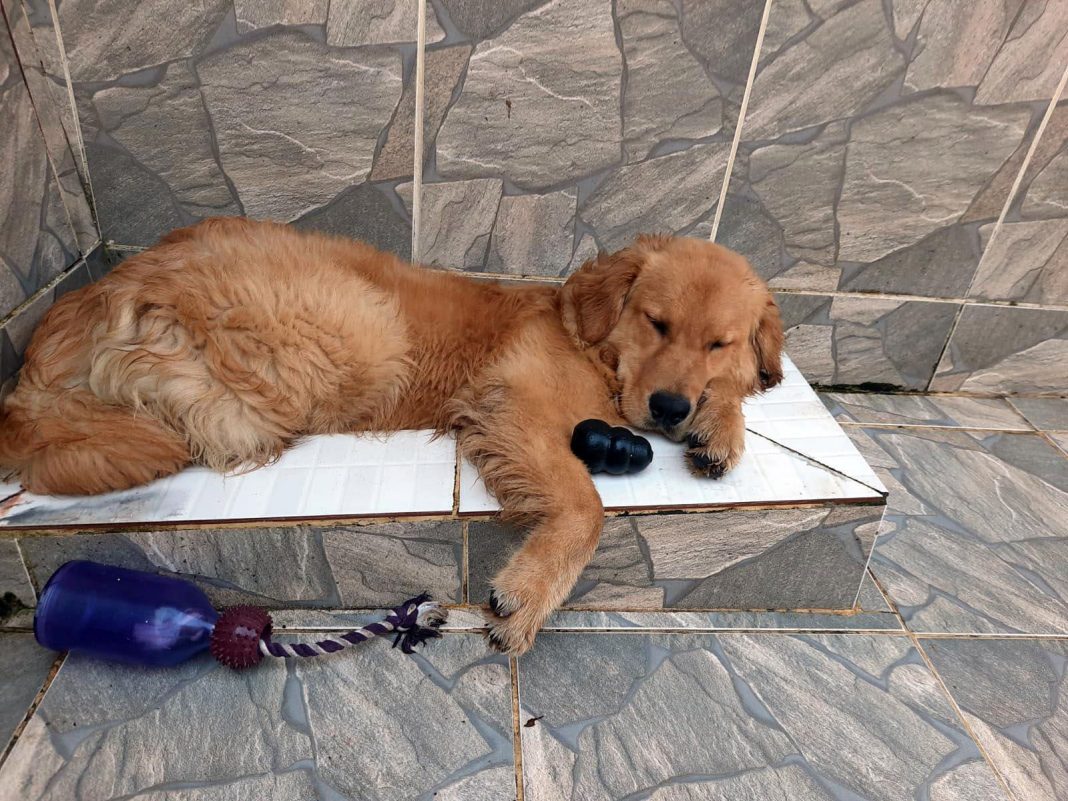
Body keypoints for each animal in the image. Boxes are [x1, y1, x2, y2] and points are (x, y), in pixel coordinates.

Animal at [0, 217, 783, 653]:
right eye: (656, 322)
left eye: (718, 342)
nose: (670, 407)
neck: (590, 345)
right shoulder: (515, 404)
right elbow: (586, 510)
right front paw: (528, 595)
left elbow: (739, 389)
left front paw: (722, 424)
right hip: (363, 332)